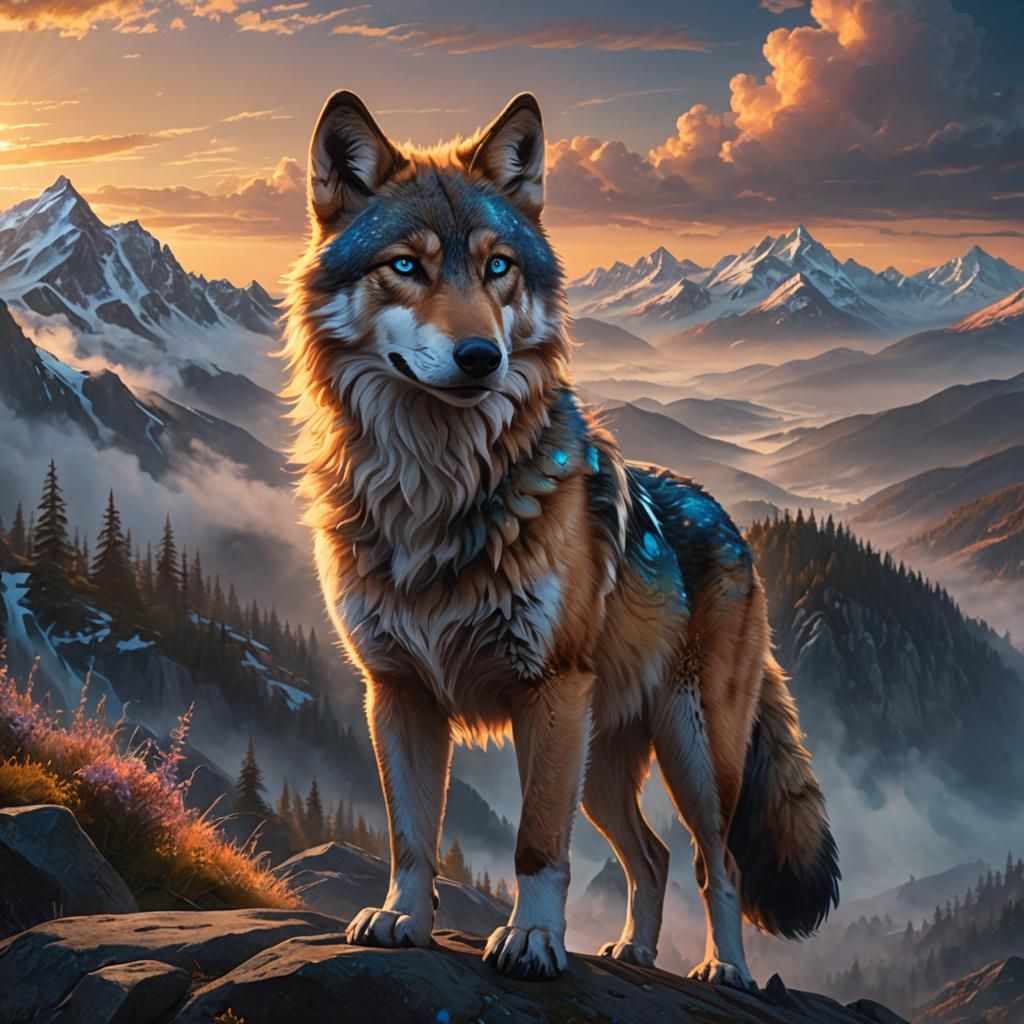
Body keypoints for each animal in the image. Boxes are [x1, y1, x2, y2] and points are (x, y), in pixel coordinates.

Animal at [282, 89, 840, 987]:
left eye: (498, 266)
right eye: (406, 266)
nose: (481, 355)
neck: (433, 491)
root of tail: (733, 529)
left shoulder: (546, 689)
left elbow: (536, 846)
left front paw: (533, 941)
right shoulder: (397, 691)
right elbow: (410, 835)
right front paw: (402, 919)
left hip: (686, 753)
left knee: (713, 862)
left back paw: (724, 971)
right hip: (601, 760)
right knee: (649, 856)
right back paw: (634, 951)